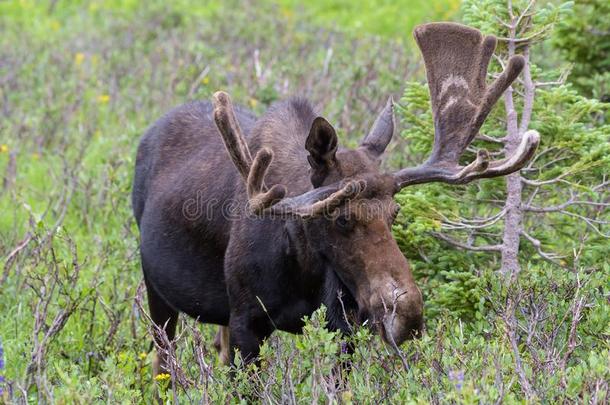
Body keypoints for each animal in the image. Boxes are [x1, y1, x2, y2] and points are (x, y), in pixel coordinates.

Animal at [132, 22, 536, 376]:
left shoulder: (343, 326)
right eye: (341, 217)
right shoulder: (247, 322)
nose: (407, 316)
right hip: (157, 292)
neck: (299, 265)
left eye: (395, 212)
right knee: (162, 363)